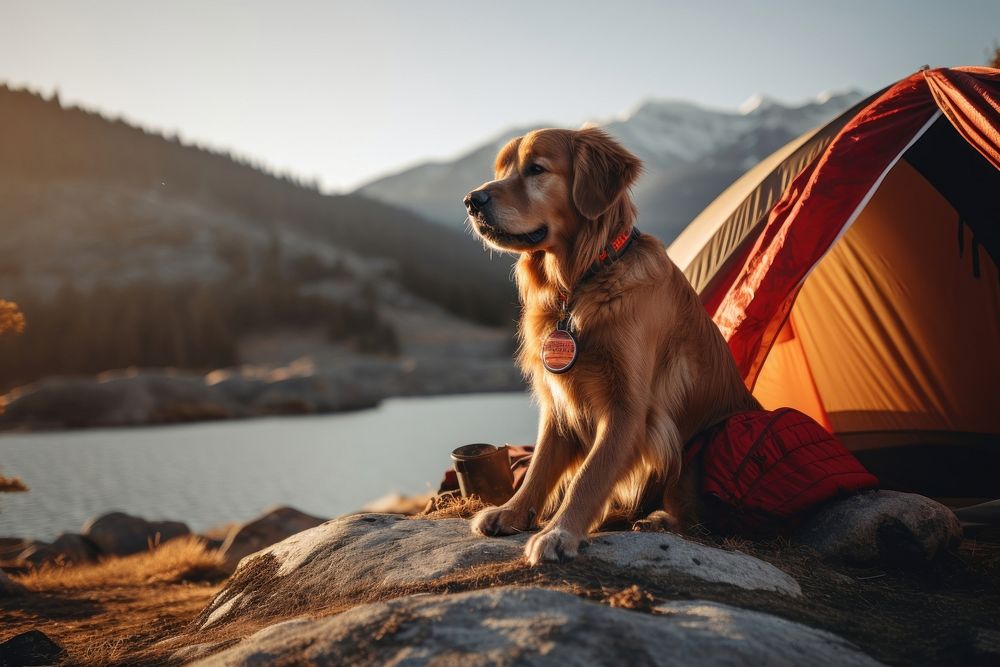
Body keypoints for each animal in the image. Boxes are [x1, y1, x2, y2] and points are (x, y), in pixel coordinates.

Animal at [464, 126, 760, 564]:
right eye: (501, 170)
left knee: (692, 517)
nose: (472, 201)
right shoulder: (559, 405)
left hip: (704, 443)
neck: (580, 282)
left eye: (536, 169)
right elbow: (540, 466)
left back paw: (657, 520)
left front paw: (560, 533)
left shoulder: (628, 409)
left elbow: (590, 475)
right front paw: (512, 512)